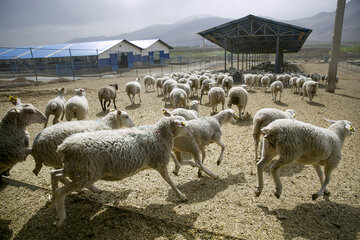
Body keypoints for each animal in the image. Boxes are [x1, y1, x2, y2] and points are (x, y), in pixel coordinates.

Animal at [51, 117, 191, 226]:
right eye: (184, 124)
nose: (192, 132)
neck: (159, 134)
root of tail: (64, 147)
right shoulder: (160, 163)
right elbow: (170, 181)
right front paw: (181, 196)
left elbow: (172, 159)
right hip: (85, 173)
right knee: (60, 191)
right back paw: (60, 217)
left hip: (75, 169)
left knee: (55, 174)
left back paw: (54, 201)